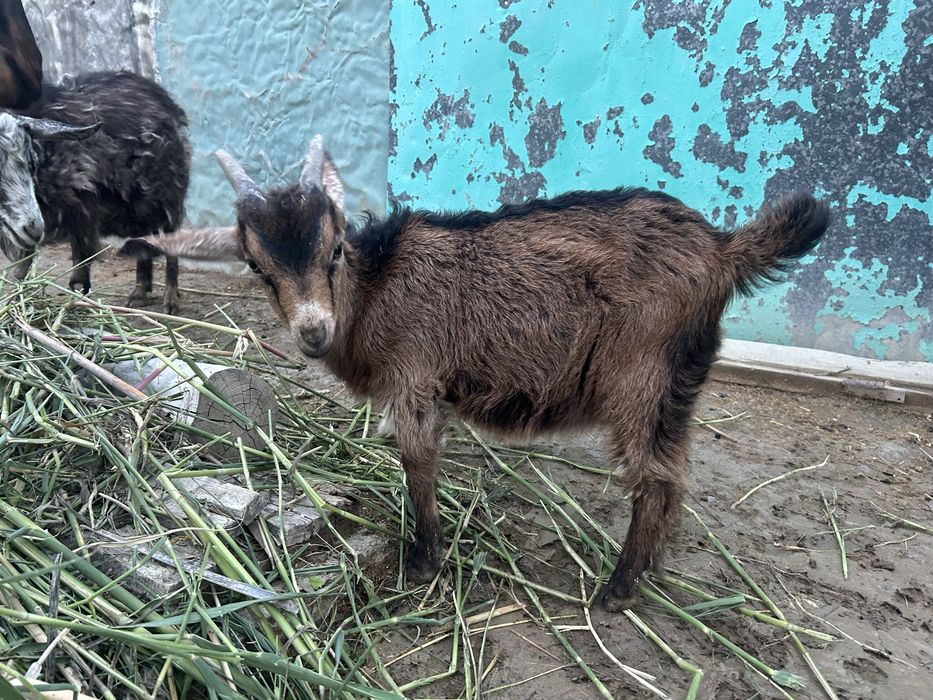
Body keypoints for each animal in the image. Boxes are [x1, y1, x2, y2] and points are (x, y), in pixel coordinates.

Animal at [1, 71, 190, 312]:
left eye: (31, 162)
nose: (33, 229)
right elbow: (20, 269)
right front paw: (14, 303)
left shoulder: (81, 207)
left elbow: (80, 266)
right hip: (138, 204)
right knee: (144, 243)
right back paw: (139, 293)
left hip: (168, 197)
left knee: (171, 247)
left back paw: (170, 300)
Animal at [123, 136, 830, 610]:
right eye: (258, 268)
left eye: (335, 251)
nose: (314, 332)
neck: (376, 289)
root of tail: (722, 250)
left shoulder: (414, 380)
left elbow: (417, 462)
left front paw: (423, 559)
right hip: (676, 385)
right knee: (676, 472)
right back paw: (651, 566)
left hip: (641, 374)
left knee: (653, 477)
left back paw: (619, 588)